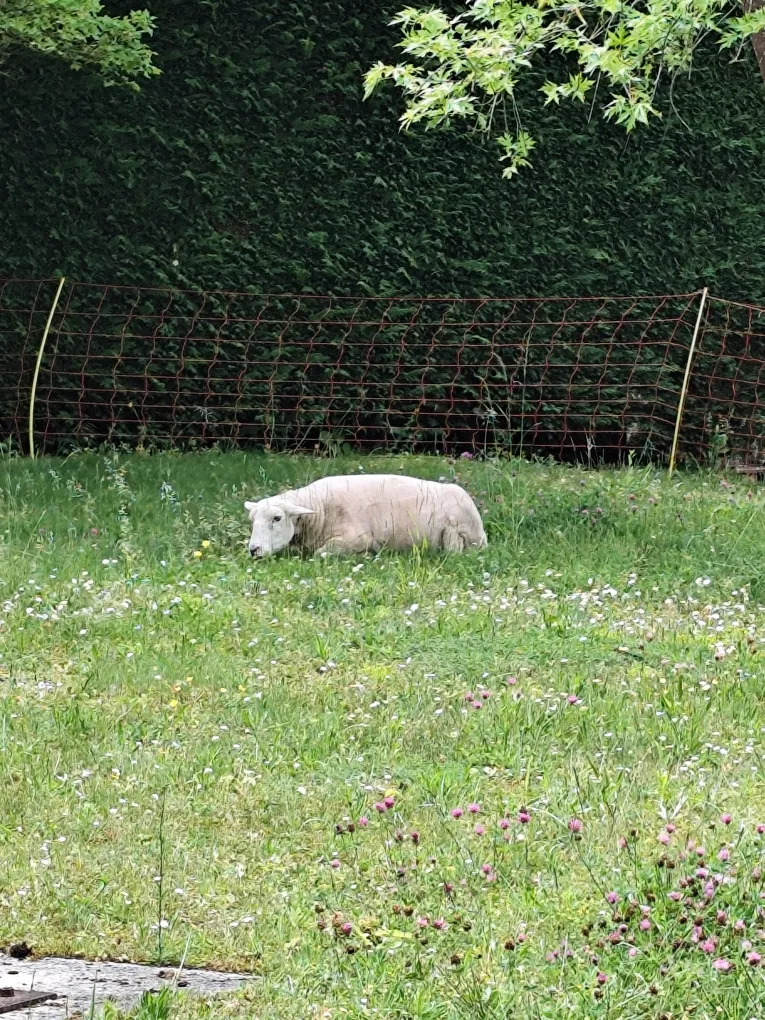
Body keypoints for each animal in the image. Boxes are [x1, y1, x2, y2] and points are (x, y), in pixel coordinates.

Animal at [244, 474, 487, 558]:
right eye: (252, 521)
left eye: (277, 518)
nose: (253, 550)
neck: (320, 509)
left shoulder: (358, 538)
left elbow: (321, 553)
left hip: (455, 534)